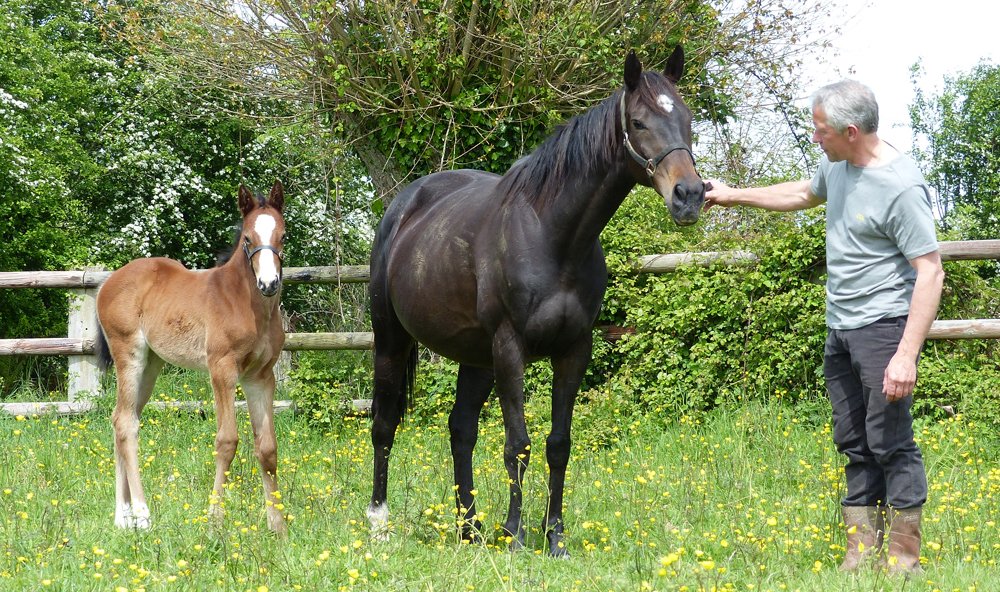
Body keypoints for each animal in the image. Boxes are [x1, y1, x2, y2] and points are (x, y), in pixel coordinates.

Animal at [95, 181, 288, 535]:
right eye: (247, 239)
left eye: (283, 235)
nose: (269, 283)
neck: (245, 302)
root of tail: (107, 283)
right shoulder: (221, 369)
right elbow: (227, 441)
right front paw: (214, 523)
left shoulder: (260, 377)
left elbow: (267, 448)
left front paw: (278, 527)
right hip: (130, 354)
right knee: (126, 423)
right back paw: (142, 514)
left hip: (152, 364)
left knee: (120, 419)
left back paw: (122, 517)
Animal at [367, 47, 704, 556]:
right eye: (639, 122)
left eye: (686, 118)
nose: (690, 196)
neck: (553, 237)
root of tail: (404, 207)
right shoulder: (511, 349)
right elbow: (517, 445)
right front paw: (516, 534)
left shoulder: (574, 350)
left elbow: (557, 444)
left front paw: (555, 536)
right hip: (392, 339)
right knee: (384, 425)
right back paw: (379, 524)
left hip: (476, 358)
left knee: (460, 430)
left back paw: (470, 528)